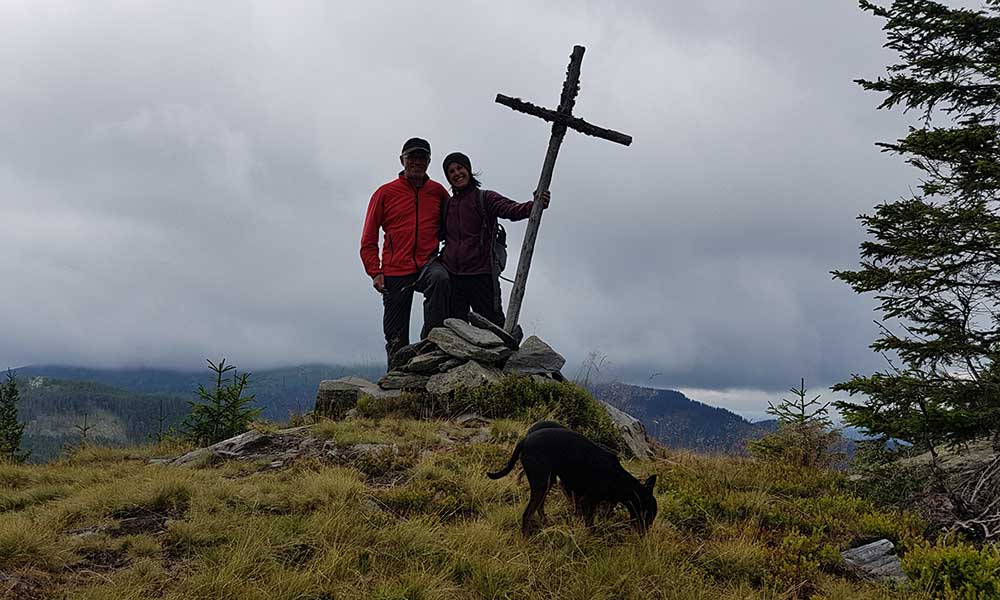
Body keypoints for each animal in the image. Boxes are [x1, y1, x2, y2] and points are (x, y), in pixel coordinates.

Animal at [486, 426, 656, 536]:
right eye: (648, 515)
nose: (644, 536)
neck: (618, 479)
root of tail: (525, 440)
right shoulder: (588, 501)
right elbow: (590, 525)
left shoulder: (582, 500)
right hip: (541, 482)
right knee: (527, 514)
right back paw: (526, 539)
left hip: (548, 481)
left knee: (539, 507)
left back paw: (546, 524)